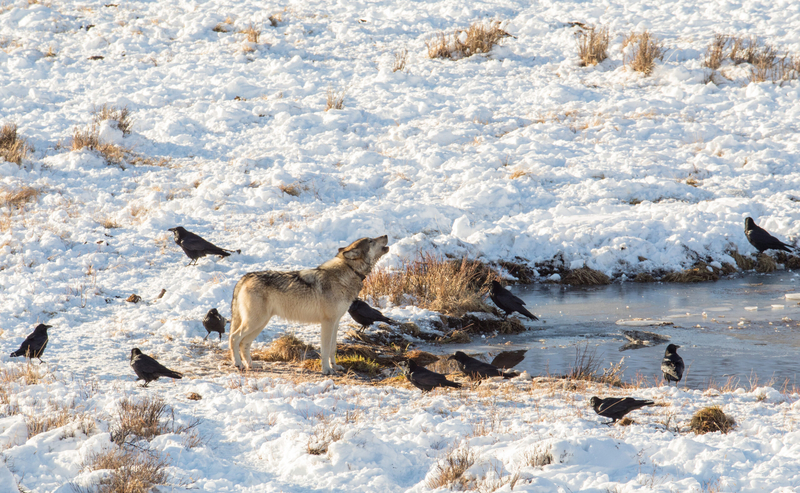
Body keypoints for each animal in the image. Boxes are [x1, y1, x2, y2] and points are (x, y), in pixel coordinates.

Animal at [229, 235, 389, 374]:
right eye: (371, 240)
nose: (386, 235)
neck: (348, 272)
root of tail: (245, 277)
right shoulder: (327, 323)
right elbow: (325, 349)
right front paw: (327, 370)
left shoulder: (336, 322)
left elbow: (333, 348)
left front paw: (335, 366)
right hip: (255, 322)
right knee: (234, 338)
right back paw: (238, 364)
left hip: (260, 324)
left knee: (244, 343)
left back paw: (251, 365)